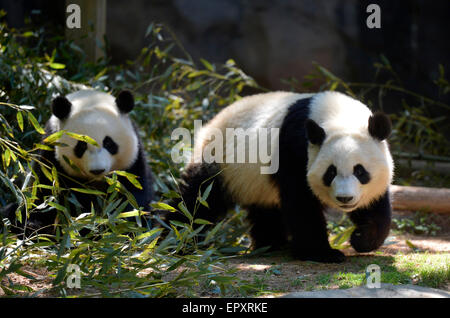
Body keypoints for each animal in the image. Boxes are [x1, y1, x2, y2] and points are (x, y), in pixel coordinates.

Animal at [0, 89, 154, 234]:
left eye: (109, 143)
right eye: (81, 146)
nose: (97, 170)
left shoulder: (133, 164)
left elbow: (131, 200)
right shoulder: (51, 158)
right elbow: (46, 195)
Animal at [176, 90, 394, 262]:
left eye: (360, 171)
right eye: (330, 172)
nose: (345, 198)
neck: (338, 114)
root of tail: (210, 123)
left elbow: (373, 206)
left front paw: (362, 238)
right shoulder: (295, 149)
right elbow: (301, 202)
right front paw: (322, 253)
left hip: (254, 181)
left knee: (265, 211)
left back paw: (272, 244)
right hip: (220, 160)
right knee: (199, 199)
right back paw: (180, 240)